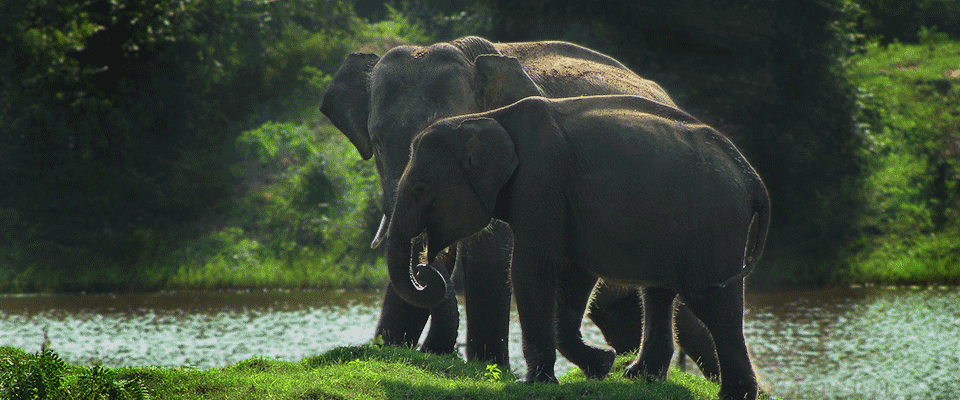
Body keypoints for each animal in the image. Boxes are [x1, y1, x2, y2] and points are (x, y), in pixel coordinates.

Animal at [318, 35, 716, 376]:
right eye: (377, 143)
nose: (437, 352)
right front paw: (389, 350)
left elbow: (492, 258)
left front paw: (487, 367)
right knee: (621, 314)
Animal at [386, 94, 768, 400]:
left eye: (420, 188)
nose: (424, 268)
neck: (490, 117)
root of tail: (753, 178)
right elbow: (574, 276)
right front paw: (602, 364)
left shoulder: (541, 184)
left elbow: (530, 270)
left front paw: (537, 384)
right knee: (659, 295)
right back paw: (639, 377)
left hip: (715, 229)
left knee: (713, 304)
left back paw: (734, 394)